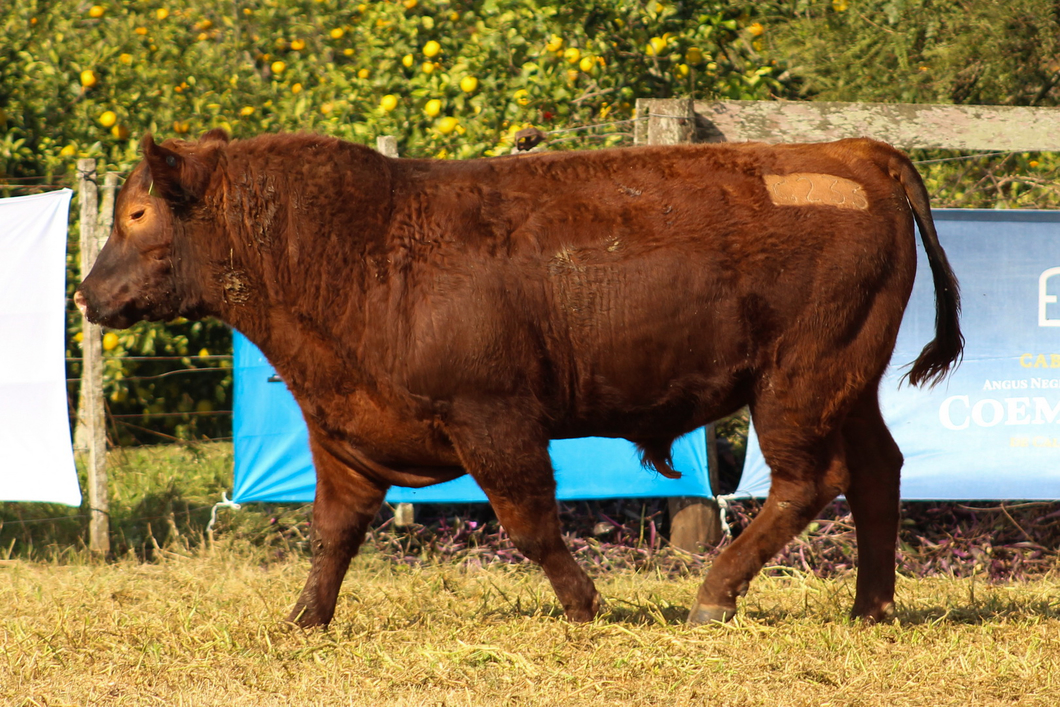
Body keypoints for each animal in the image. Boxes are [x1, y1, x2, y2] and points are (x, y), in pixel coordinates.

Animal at [76, 129, 962, 627]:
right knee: (877, 471)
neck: (363, 247)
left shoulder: (494, 420)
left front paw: (585, 604)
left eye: (137, 215)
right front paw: (303, 616)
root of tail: (856, 156)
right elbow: (332, 531)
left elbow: (530, 521)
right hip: (849, 386)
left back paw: (715, 593)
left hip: (798, 381)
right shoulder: (345, 435)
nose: (86, 294)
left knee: (808, 481)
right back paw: (871, 606)